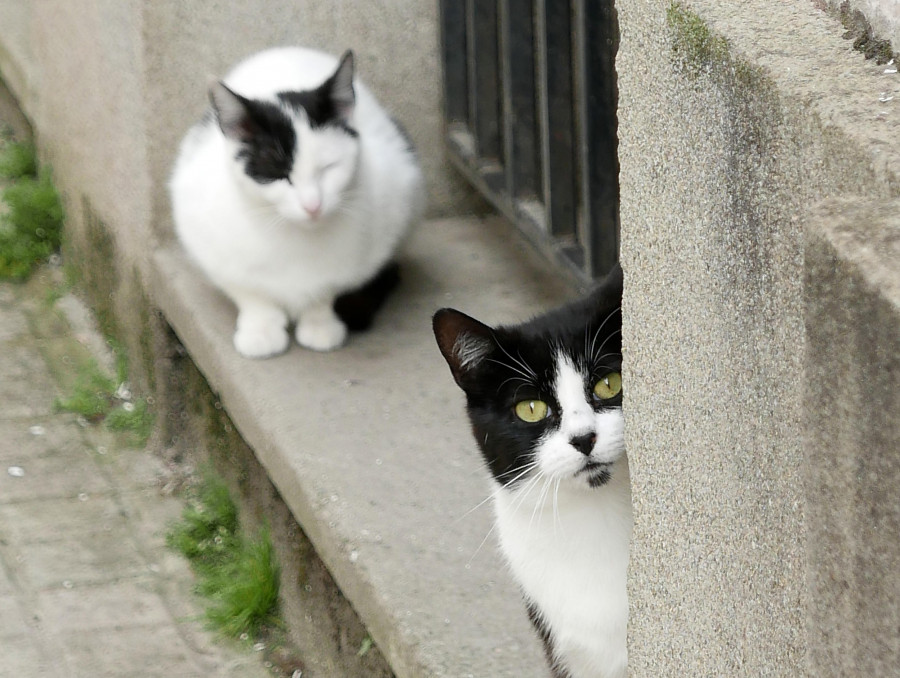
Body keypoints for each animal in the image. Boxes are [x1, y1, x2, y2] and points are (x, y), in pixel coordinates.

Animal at [171, 46, 426, 362]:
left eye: (328, 168)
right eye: (280, 174)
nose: (312, 205)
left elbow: (328, 289)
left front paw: (320, 324)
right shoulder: (204, 235)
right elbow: (250, 292)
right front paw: (261, 329)